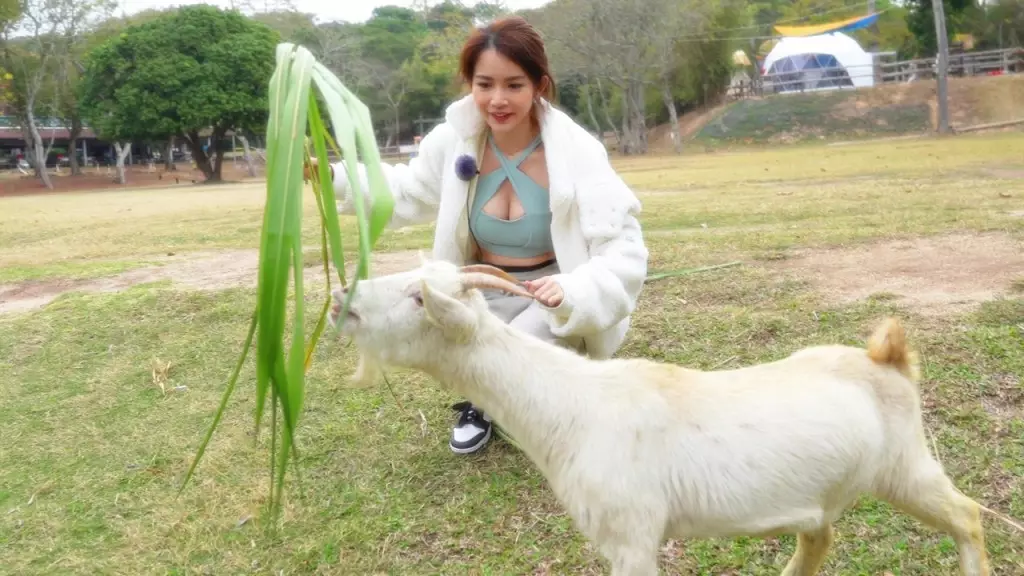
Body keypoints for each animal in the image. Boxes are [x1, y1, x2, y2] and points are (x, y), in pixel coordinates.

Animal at [328, 258, 990, 576]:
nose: (341, 297)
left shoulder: (632, 535)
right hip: (822, 496)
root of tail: (890, 360)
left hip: (905, 468)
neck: (571, 405)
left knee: (968, 516)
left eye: (419, 296)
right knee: (820, 538)